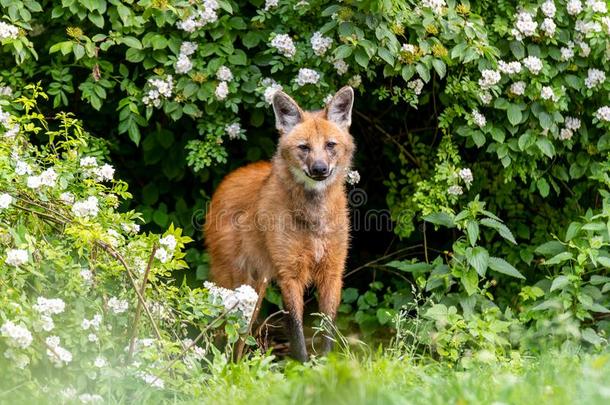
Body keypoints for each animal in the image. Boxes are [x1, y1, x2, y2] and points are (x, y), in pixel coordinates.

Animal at [205, 85, 356, 360]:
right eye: (304, 147)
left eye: (330, 145)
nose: (320, 169)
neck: (313, 218)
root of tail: (227, 180)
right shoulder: (290, 274)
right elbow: (296, 331)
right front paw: (303, 366)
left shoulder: (332, 271)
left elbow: (327, 328)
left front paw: (327, 364)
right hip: (239, 283)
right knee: (225, 329)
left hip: (255, 287)